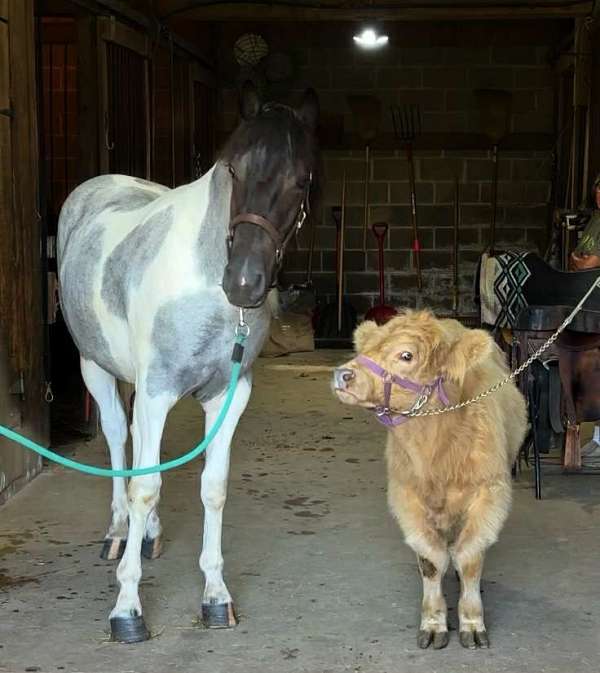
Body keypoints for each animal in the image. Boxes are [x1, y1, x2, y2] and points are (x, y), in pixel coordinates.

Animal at [57, 82, 319, 642]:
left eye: (301, 180)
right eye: (235, 170)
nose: (243, 283)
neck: (205, 282)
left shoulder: (227, 397)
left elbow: (212, 489)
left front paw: (215, 597)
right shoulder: (157, 390)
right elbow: (145, 486)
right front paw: (127, 609)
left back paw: (148, 536)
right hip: (97, 368)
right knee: (120, 441)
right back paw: (119, 533)